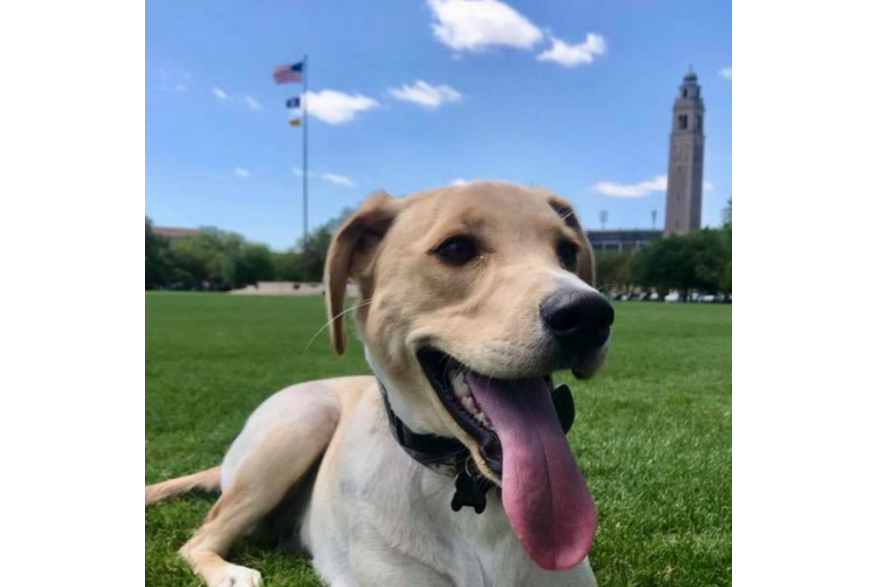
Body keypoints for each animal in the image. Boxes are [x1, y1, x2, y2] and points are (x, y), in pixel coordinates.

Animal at [144, 181, 612, 584]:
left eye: (567, 252)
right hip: (303, 422)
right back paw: (230, 573)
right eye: (457, 248)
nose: (590, 315)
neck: (464, 488)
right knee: (197, 539)